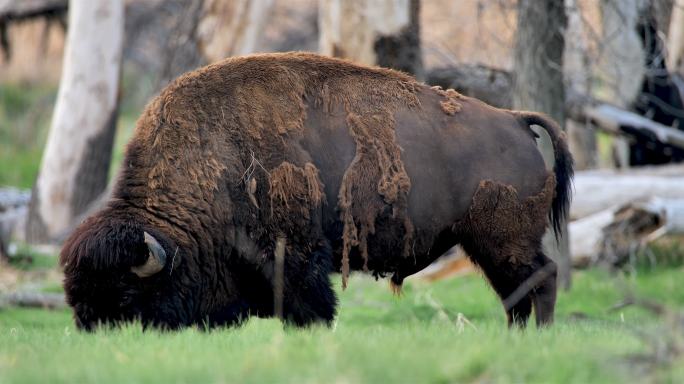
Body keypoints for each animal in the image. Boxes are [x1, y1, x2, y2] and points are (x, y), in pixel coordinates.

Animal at [61, 53, 572, 330]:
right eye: (74, 294)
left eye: (124, 296)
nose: (96, 333)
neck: (210, 156)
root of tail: (514, 120)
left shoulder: (295, 256)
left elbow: (311, 305)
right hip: (485, 244)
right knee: (515, 293)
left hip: (505, 240)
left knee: (541, 279)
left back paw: (536, 338)